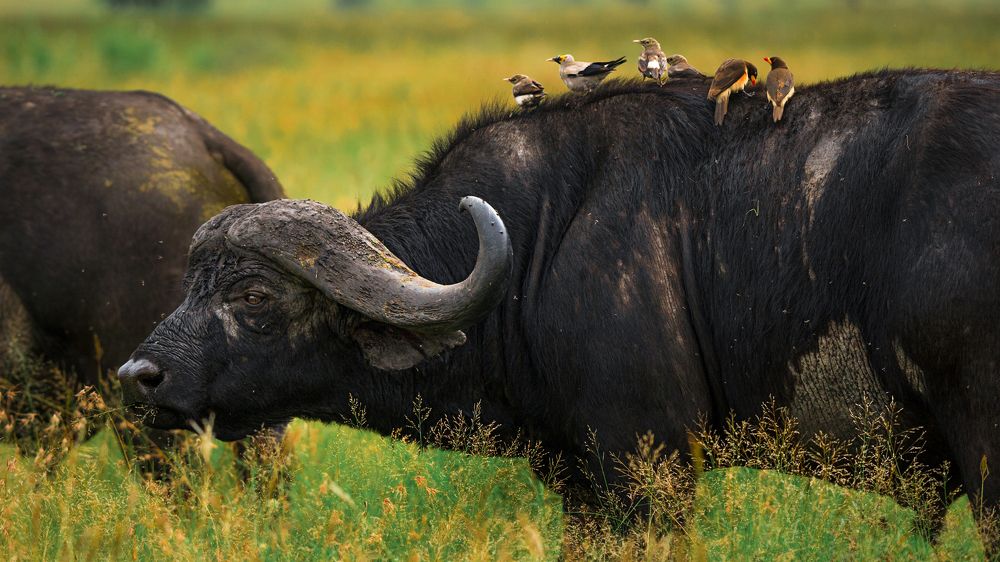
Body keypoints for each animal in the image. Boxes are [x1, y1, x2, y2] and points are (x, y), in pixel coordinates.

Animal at [119, 69, 999, 511]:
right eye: (191, 283)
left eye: (255, 298)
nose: (138, 376)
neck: (538, 242)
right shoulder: (579, 482)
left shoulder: (647, 466)